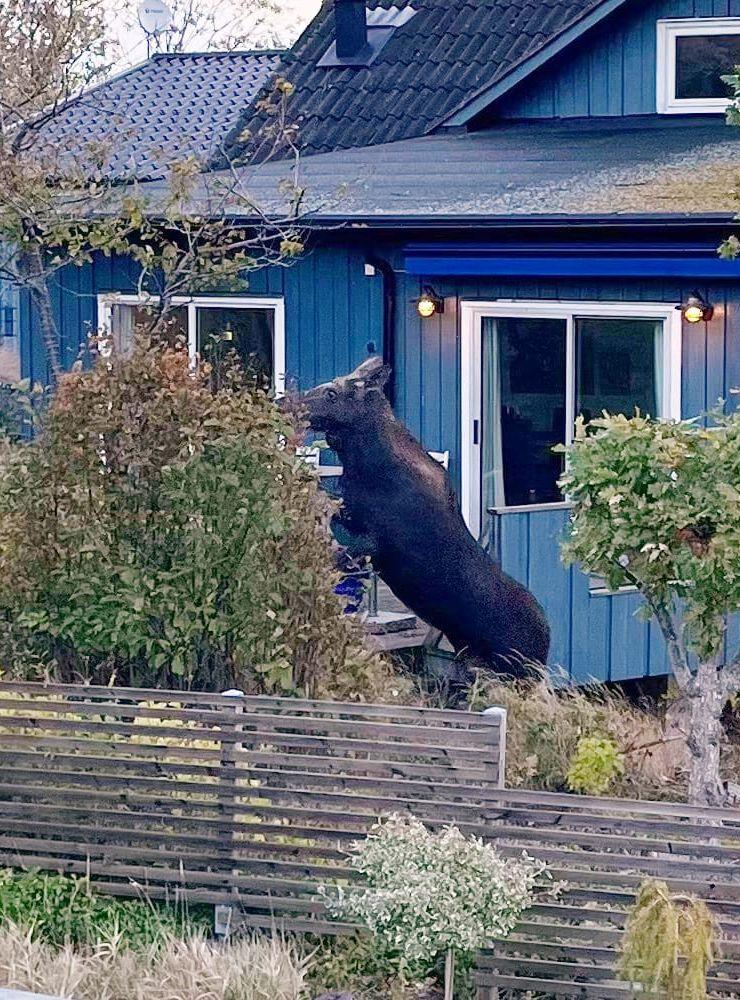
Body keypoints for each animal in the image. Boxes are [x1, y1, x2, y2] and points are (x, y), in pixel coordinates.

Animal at [300, 356, 548, 676]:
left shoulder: (374, 540)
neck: (365, 461)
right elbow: (322, 498)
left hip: (518, 672)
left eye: (332, 393)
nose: (284, 400)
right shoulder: (351, 513)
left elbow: (339, 550)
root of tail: (548, 643)